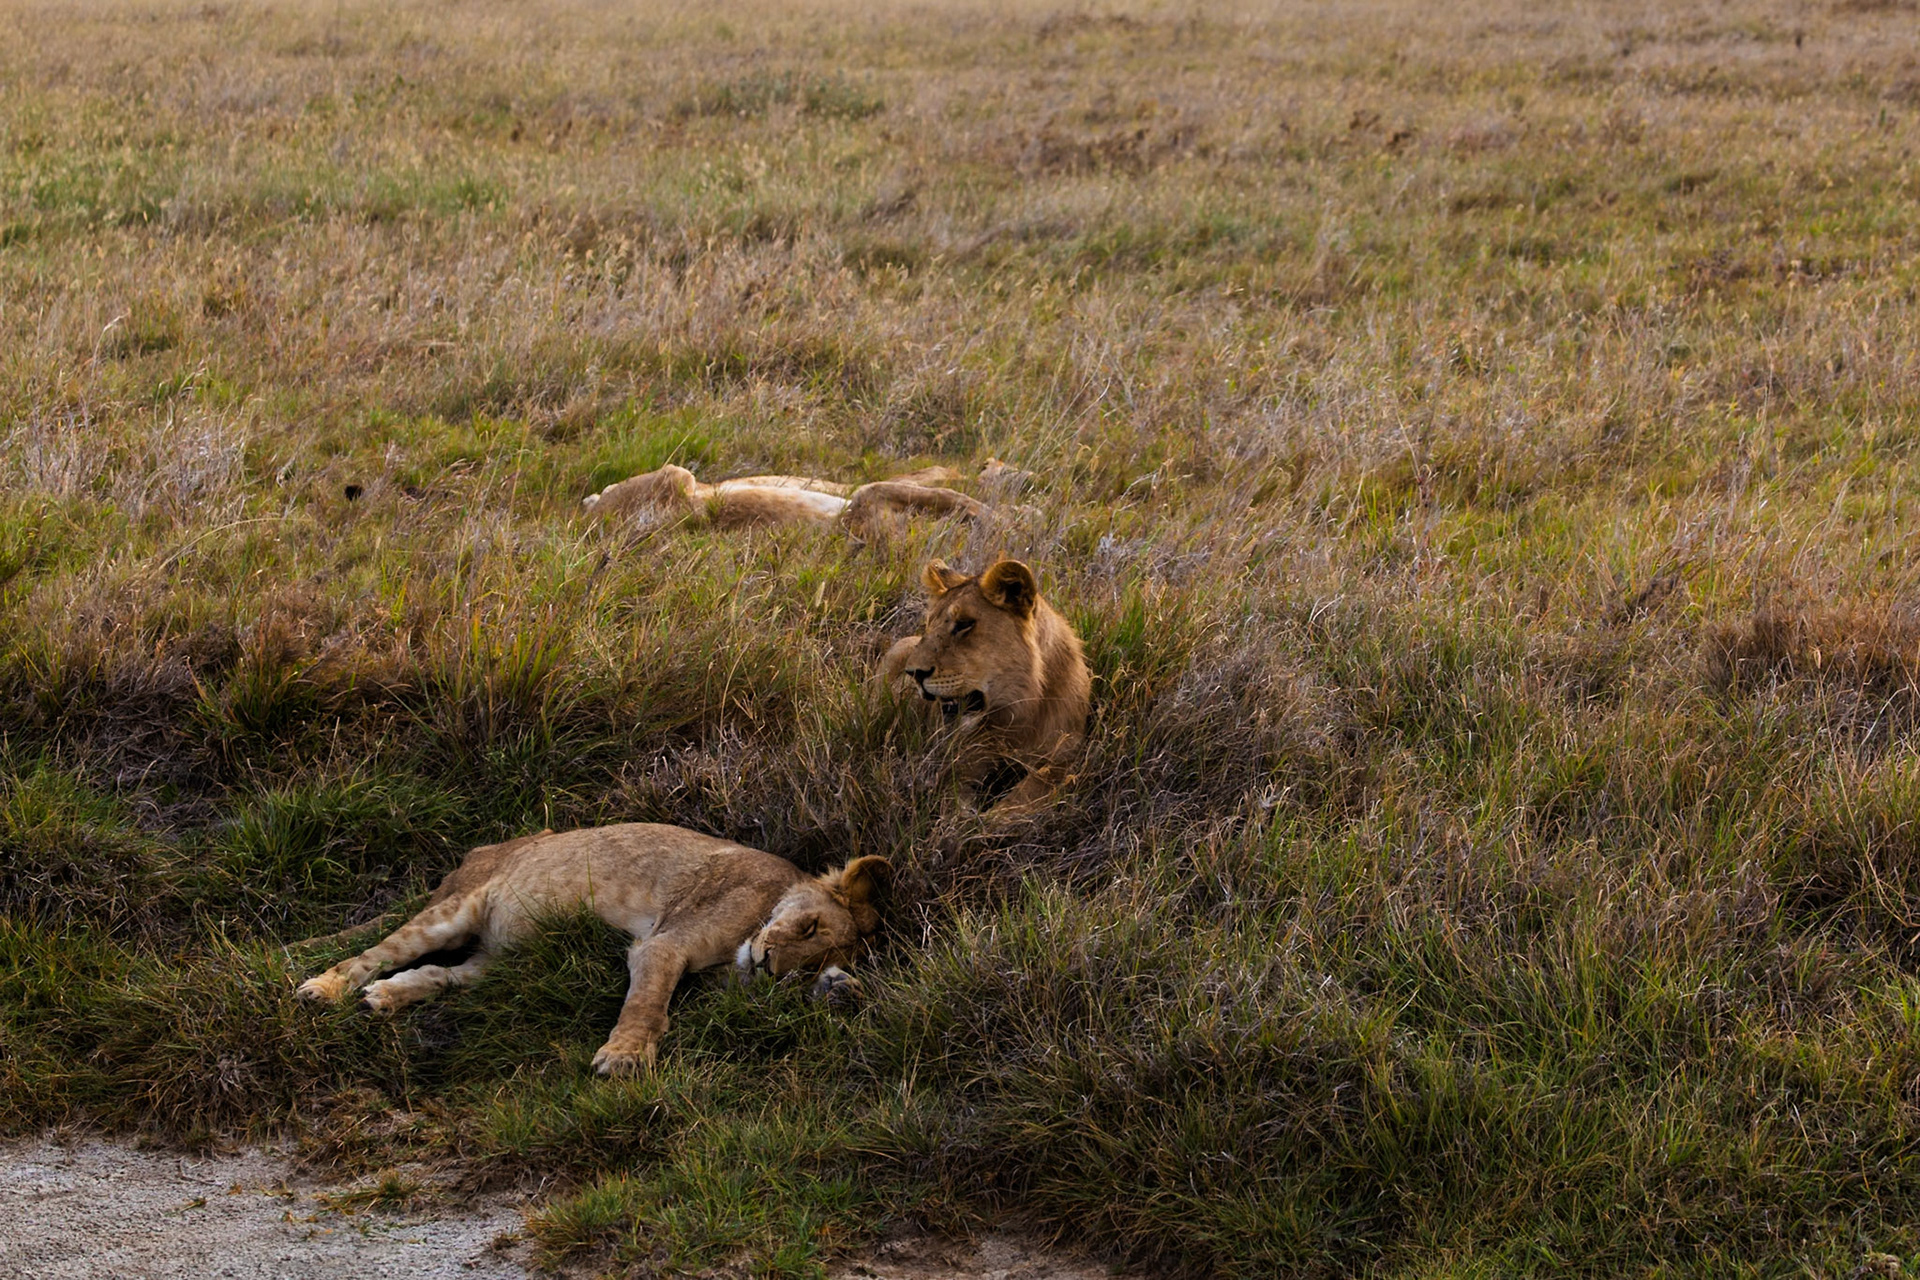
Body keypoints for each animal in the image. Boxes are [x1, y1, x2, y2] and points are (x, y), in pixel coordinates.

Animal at [297, 824, 888, 1076]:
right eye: (809, 926)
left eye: (804, 968)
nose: (768, 966)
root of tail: (476, 852)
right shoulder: (663, 944)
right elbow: (647, 1005)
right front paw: (624, 1056)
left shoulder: (719, 986)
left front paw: (841, 990)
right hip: (454, 909)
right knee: (371, 955)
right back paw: (324, 990)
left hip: (498, 963)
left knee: (439, 976)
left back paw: (384, 1000)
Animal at [879, 558, 1090, 811]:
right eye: (929, 624)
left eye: (964, 624)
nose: (914, 673)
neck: (1021, 709)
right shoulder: (966, 756)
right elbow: (953, 797)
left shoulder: (1064, 758)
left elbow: (1024, 798)